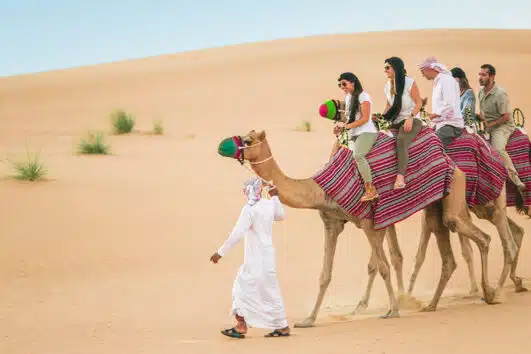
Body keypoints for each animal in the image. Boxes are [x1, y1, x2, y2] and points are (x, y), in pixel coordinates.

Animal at [215, 129, 502, 328]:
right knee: (449, 249)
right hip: (435, 204)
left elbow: (383, 266)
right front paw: (308, 320)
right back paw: (432, 305)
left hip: (454, 192)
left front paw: (393, 310)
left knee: (481, 236)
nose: (222, 146)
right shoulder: (332, 223)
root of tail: (449, 159)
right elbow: (325, 274)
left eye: (248, 140)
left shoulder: (368, 223)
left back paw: (490, 293)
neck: (319, 189)